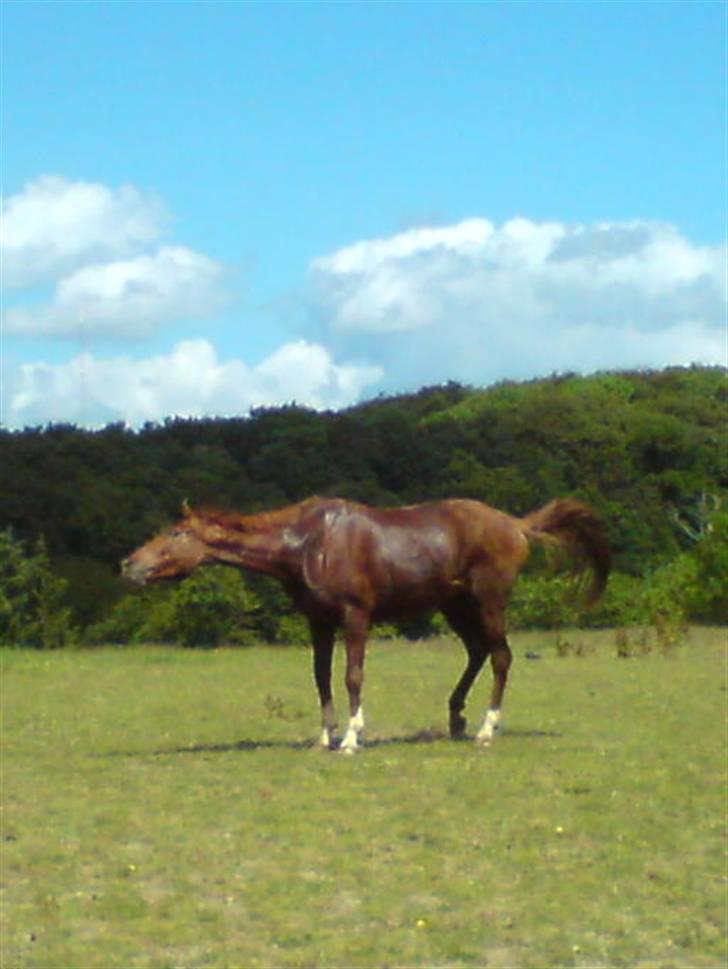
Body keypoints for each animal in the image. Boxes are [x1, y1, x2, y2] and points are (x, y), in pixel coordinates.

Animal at [122, 496, 612, 752]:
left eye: (178, 533)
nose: (129, 565)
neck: (308, 542)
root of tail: (515, 524)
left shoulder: (355, 617)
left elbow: (352, 675)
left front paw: (352, 737)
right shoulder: (319, 623)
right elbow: (321, 677)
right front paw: (325, 735)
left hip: (488, 601)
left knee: (500, 657)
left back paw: (487, 728)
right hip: (455, 606)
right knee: (477, 653)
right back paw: (456, 717)